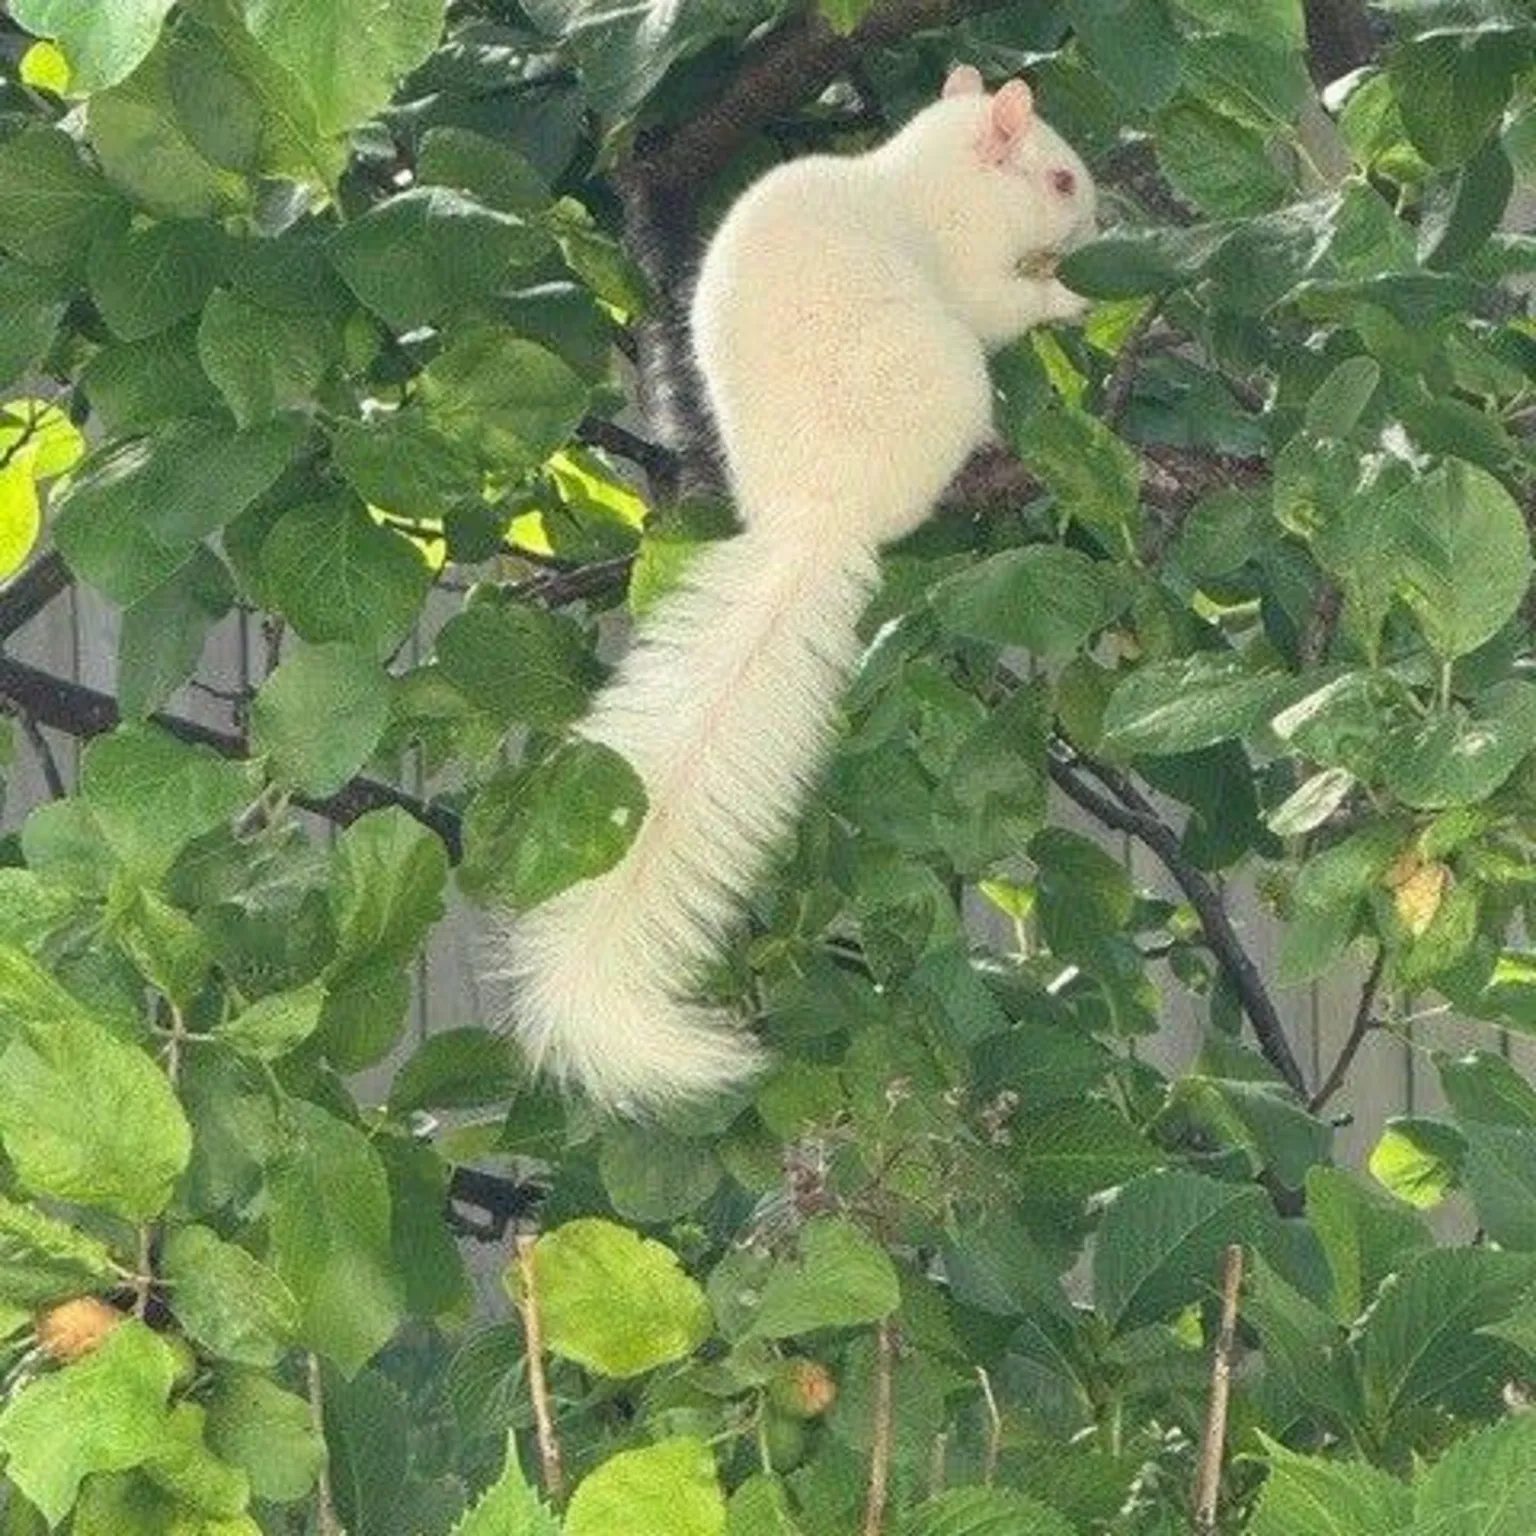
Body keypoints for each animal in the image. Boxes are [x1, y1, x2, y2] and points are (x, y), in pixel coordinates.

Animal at [496, 67, 1097, 1113]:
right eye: (1060, 180)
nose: (1096, 223)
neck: (930, 173)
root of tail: (821, 517)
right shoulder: (971, 267)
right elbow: (1005, 304)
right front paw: (1063, 295)